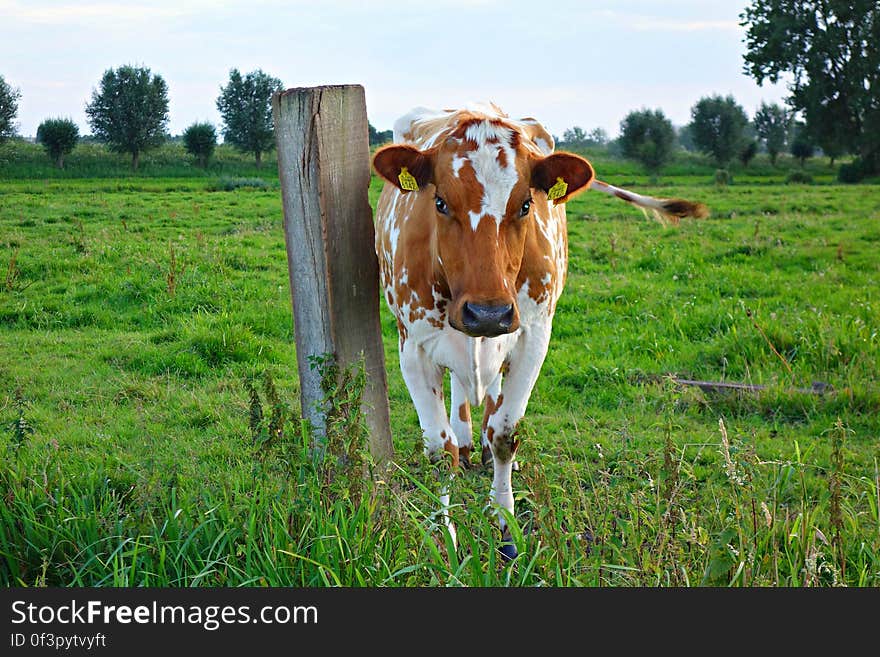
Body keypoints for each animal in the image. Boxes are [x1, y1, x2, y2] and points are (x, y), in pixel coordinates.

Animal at [372, 104, 708, 560]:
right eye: (439, 202)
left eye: (526, 204)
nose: (487, 312)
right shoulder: (414, 347)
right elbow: (440, 451)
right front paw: (445, 539)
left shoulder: (532, 335)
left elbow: (504, 433)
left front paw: (505, 528)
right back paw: (466, 438)